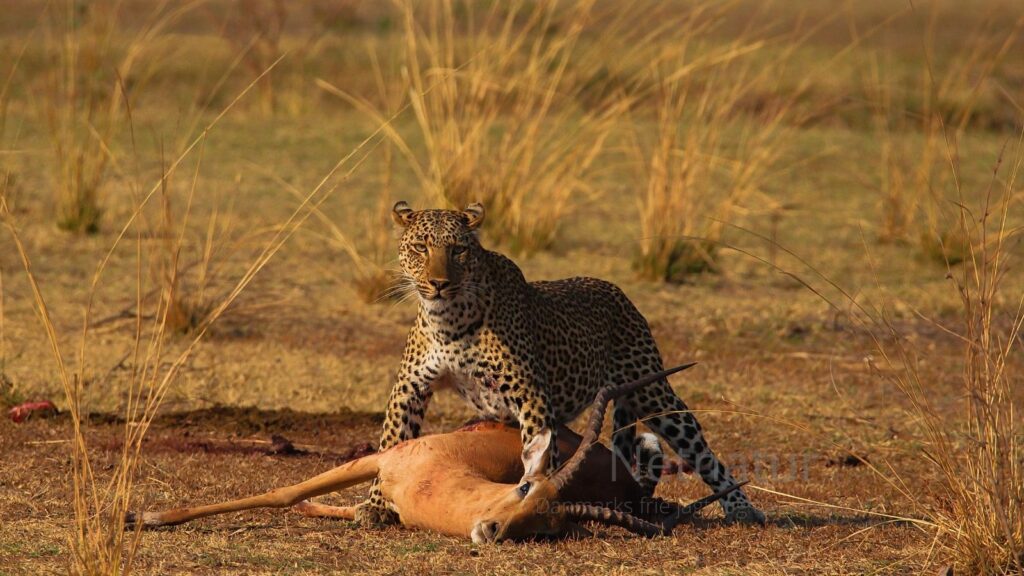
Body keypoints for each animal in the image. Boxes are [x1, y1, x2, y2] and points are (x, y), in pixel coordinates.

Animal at [130, 363, 742, 542]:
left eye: (547, 526)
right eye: (524, 486)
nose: (491, 532)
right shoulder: (378, 460)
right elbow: (282, 490)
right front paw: (144, 516)